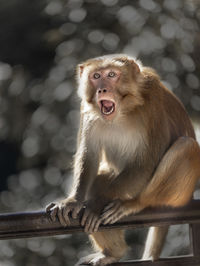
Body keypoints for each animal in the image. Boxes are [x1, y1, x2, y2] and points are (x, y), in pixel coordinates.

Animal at [46, 54, 200, 266]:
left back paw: (135, 203)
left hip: (180, 195)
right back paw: (113, 252)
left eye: (112, 75)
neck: (123, 110)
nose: (102, 89)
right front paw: (73, 200)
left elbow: (146, 162)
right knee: (99, 180)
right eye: (96, 76)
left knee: (186, 147)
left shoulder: (153, 101)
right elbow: (89, 155)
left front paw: (96, 204)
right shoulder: (87, 107)